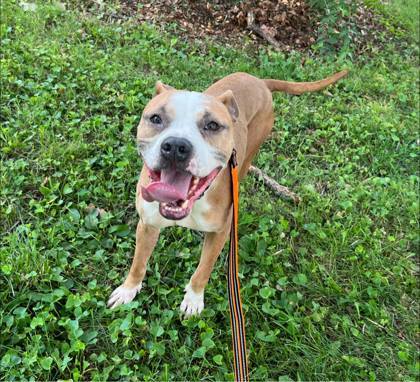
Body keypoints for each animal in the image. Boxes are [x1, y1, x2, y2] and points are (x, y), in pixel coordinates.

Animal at [107, 70, 348, 314]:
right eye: (156, 118)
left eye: (212, 125)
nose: (175, 147)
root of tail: (259, 81)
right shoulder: (147, 225)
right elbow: (138, 263)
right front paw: (128, 289)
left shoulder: (219, 234)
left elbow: (203, 271)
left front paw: (193, 299)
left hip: (252, 149)